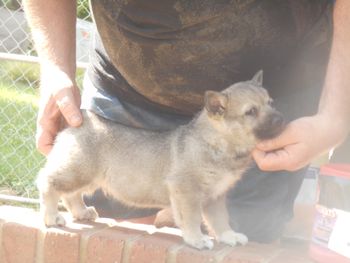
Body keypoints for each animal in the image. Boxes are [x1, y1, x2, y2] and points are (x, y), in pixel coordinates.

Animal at [37, 71, 284, 251]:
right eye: (251, 112)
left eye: (271, 103)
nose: (281, 120)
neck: (217, 143)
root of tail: (82, 118)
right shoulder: (187, 192)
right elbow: (193, 219)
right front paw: (196, 239)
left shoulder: (215, 197)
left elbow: (220, 220)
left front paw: (228, 236)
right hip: (78, 171)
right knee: (48, 183)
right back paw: (52, 217)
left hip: (85, 176)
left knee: (71, 195)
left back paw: (81, 212)